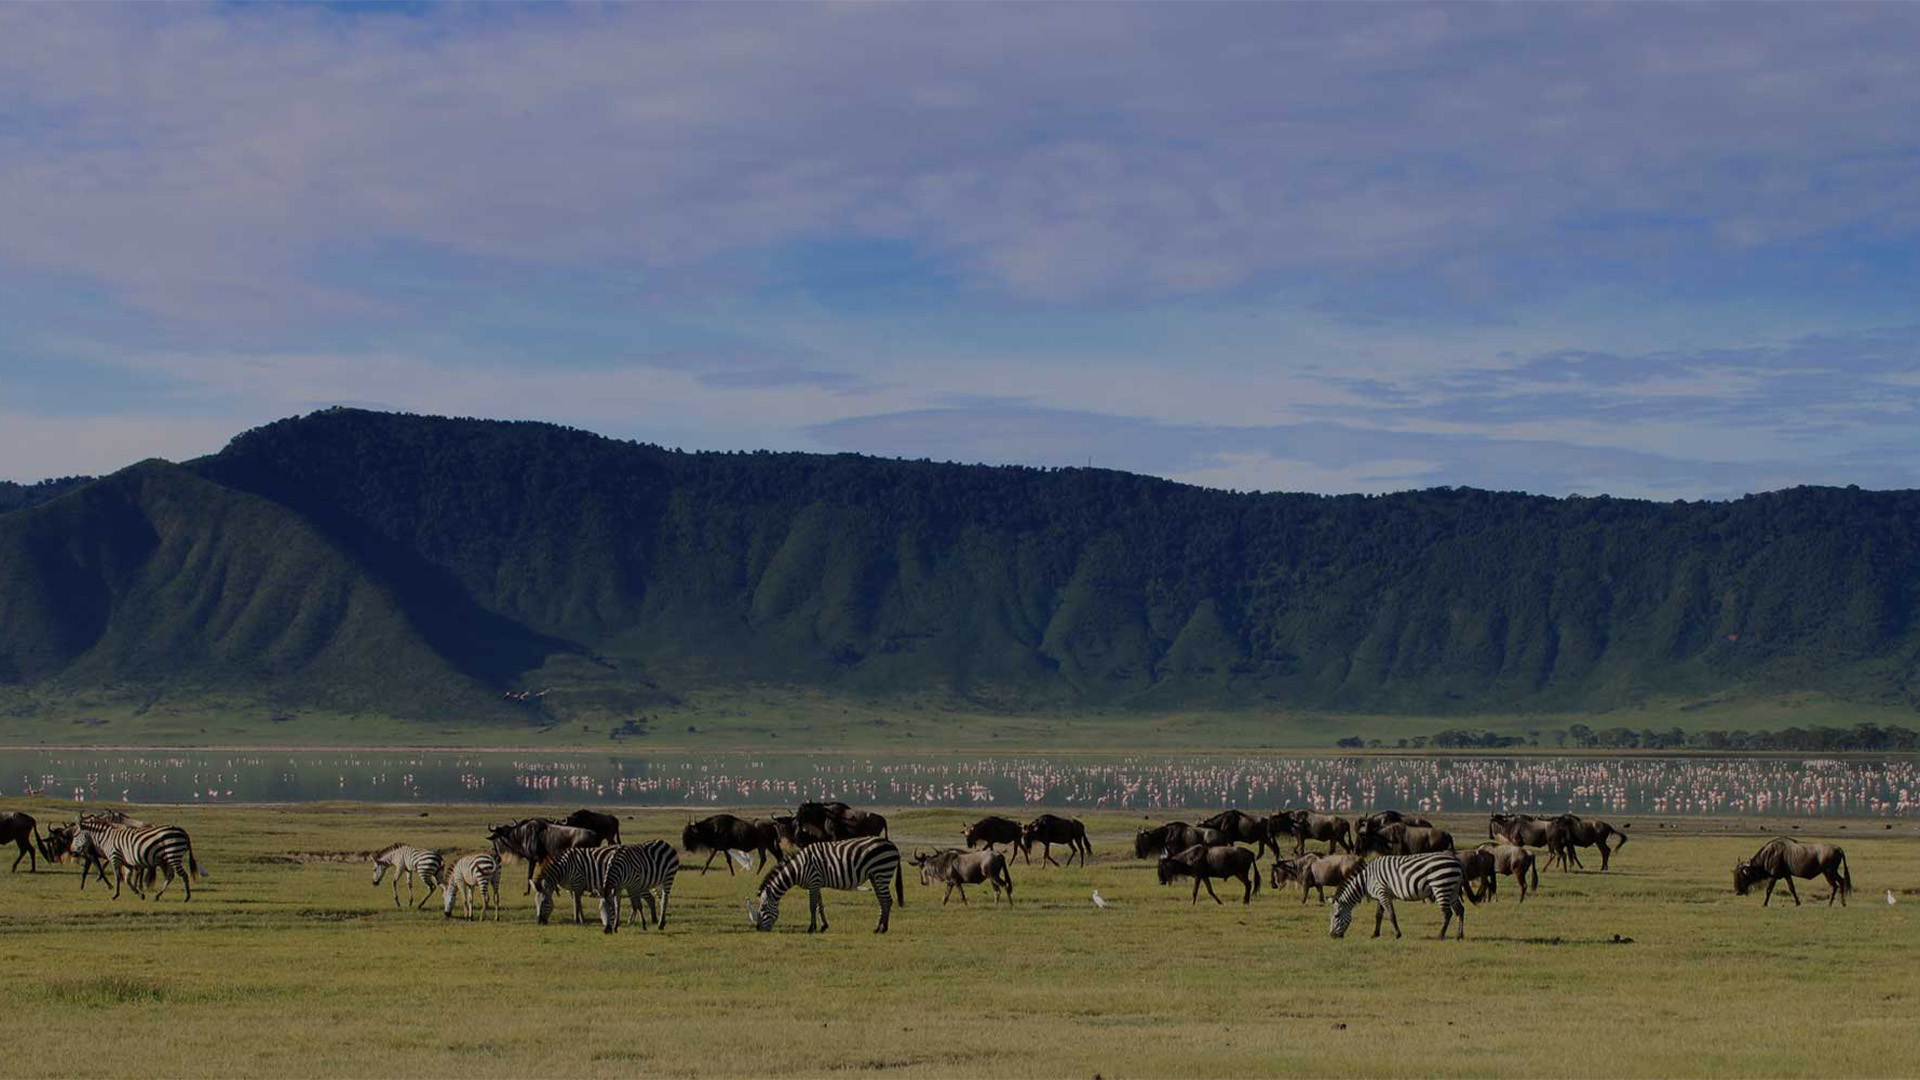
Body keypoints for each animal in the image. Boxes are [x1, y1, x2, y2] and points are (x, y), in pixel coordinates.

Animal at [69, 814, 202, 899]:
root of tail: (183, 831)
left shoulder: (115, 857)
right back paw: (157, 895)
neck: (107, 838)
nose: (71, 851)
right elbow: (127, 880)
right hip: (165, 859)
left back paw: (187, 897)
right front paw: (140, 894)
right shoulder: (126, 862)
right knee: (169, 876)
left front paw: (115, 895)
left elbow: (118, 877)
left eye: (75, 836)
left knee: (183, 875)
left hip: (173, 855)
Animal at [744, 837, 902, 930]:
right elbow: (820, 905)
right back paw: (878, 927)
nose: (758, 928)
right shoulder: (815, 883)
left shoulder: (813, 880)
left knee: (887, 900)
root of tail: (892, 845)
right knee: (882, 900)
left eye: (763, 908)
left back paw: (883, 928)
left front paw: (812, 928)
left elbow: (812, 905)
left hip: (882, 872)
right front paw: (824, 925)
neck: (799, 868)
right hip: (875, 876)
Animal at [1336, 845, 1466, 937]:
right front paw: (1375, 934)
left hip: (1441, 886)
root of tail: (1457, 861)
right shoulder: (1381, 894)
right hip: (1452, 889)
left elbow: (1391, 915)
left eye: (1336, 916)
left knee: (1447, 913)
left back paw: (1440, 935)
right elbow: (1378, 915)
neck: (1367, 879)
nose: (1333, 936)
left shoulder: (1382, 892)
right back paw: (1459, 936)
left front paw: (1398, 934)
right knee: (1460, 910)